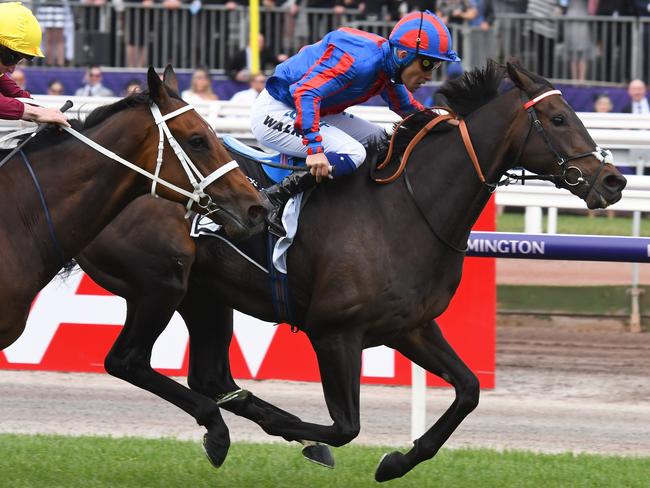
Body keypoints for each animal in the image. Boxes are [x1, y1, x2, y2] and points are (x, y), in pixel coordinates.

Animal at [76, 62, 624, 480]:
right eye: (558, 118)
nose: (613, 181)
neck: (404, 209)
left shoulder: (410, 326)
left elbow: (468, 390)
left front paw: (398, 461)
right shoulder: (335, 332)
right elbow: (345, 428)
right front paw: (312, 442)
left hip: (205, 294)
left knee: (209, 375)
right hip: (160, 283)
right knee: (128, 362)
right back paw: (222, 428)